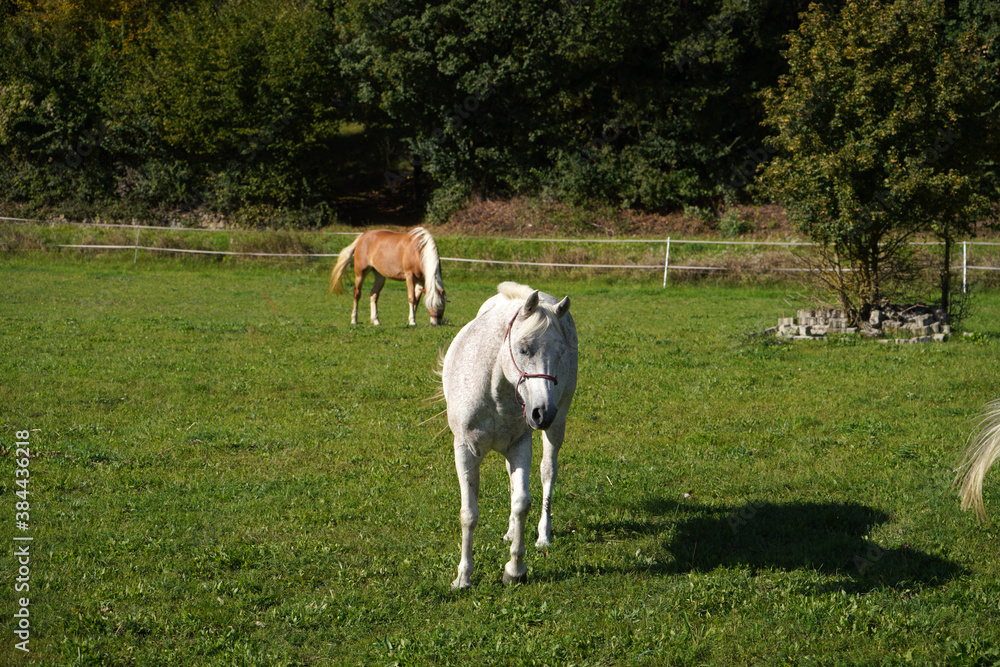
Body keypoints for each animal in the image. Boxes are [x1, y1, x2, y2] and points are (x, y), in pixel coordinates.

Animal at [441, 281, 578, 589]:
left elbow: (522, 503)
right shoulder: (465, 450)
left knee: (548, 471)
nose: (543, 413)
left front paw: (515, 569)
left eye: (561, 353)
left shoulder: (520, 445)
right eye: (524, 349)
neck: (495, 392)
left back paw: (543, 535)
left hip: (557, 426)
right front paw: (463, 577)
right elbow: (469, 514)